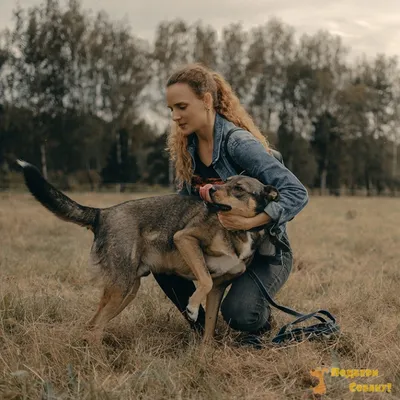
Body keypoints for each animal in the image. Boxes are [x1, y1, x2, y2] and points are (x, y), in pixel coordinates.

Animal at [15, 159, 278, 344]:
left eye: (239, 188)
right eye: (225, 181)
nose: (211, 190)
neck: (240, 232)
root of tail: (102, 213)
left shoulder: (219, 288)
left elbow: (209, 329)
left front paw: (204, 358)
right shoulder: (185, 239)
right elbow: (204, 279)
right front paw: (192, 308)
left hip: (127, 290)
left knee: (92, 325)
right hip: (121, 288)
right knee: (95, 326)